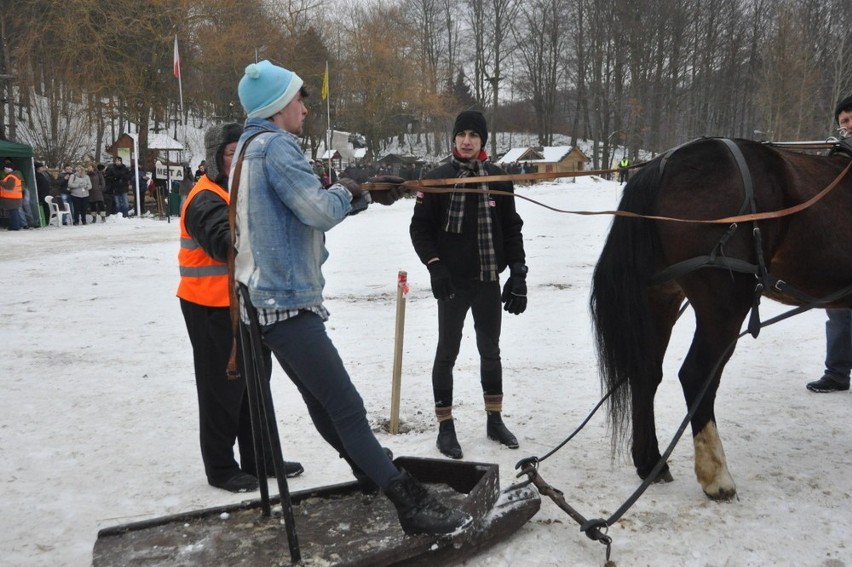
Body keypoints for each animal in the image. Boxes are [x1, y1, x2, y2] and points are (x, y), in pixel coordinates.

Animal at [588, 138, 852, 502]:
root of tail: (664, 164)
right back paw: (716, 477)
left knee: (646, 374)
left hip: (661, 296)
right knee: (697, 375)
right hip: (724, 305)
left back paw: (650, 462)